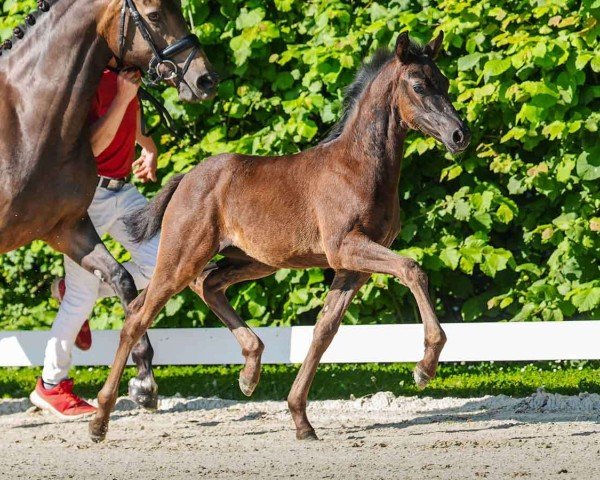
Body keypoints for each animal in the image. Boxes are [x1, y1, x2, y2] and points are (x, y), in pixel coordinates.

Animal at [92, 30, 468, 440]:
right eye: (418, 85)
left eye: (445, 82)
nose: (459, 134)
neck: (358, 166)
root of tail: (186, 178)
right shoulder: (345, 248)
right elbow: (412, 269)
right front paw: (425, 367)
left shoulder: (353, 266)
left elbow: (325, 329)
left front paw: (301, 418)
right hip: (182, 255)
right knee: (139, 315)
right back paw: (100, 420)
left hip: (253, 262)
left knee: (205, 286)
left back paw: (249, 371)